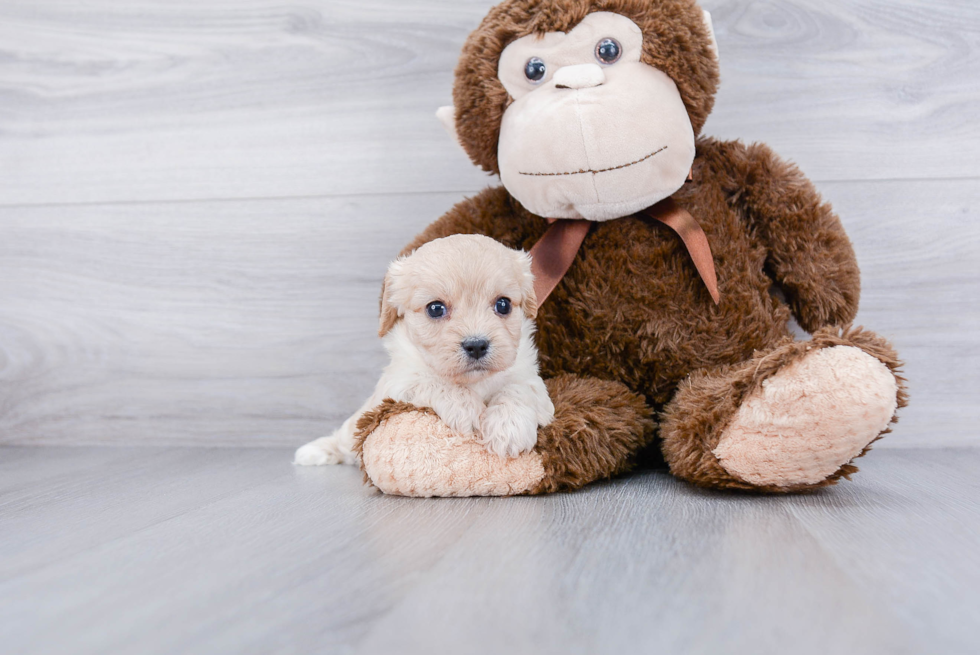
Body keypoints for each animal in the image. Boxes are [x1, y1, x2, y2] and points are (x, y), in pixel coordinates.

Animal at [294, 236, 556, 466]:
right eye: (436, 309)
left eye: (503, 305)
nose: (476, 345)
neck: (473, 382)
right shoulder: (398, 382)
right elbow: (431, 380)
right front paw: (466, 408)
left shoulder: (531, 380)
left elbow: (518, 388)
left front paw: (508, 428)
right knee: (343, 438)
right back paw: (314, 451)